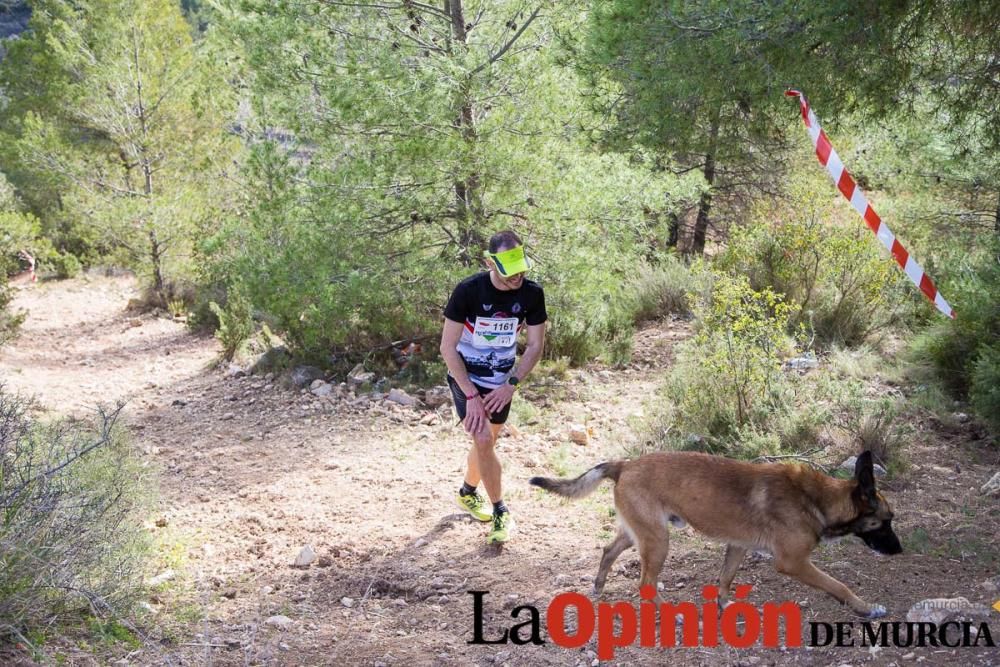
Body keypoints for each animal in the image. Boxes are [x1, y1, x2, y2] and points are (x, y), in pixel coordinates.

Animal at [532, 452, 900, 620]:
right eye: (886, 521)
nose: (898, 551)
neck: (818, 499)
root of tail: (625, 463)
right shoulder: (793, 563)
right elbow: (839, 585)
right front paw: (866, 608)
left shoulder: (737, 546)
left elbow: (725, 579)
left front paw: (725, 606)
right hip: (658, 541)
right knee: (645, 583)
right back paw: (671, 614)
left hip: (641, 533)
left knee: (608, 550)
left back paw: (598, 585)